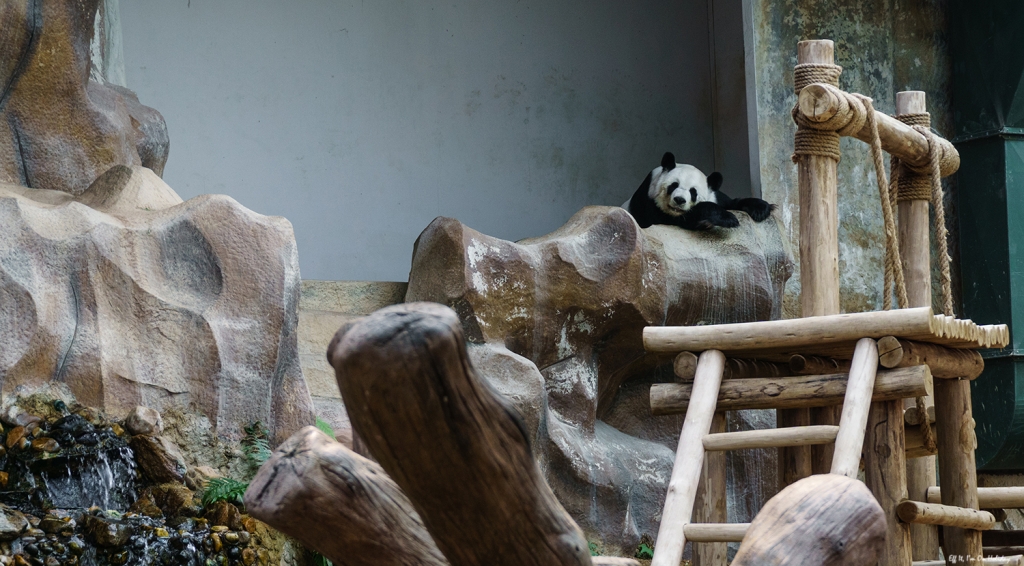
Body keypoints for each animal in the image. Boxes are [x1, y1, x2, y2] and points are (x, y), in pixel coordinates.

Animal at [622, 151, 774, 230]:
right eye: (674, 185)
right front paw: (727, 218)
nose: (679, 200)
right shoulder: (647, 201)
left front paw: (761, 209)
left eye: (693, 192)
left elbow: (732, 202)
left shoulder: (715, 195)